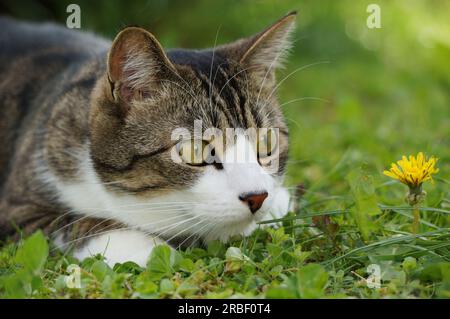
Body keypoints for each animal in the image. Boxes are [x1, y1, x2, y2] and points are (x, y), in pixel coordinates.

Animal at [0, 11, 296, 268]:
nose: (257, 197)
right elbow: (72, 222)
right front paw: (148, 249)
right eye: (194, 150)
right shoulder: (17, 210)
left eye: (266, 143)